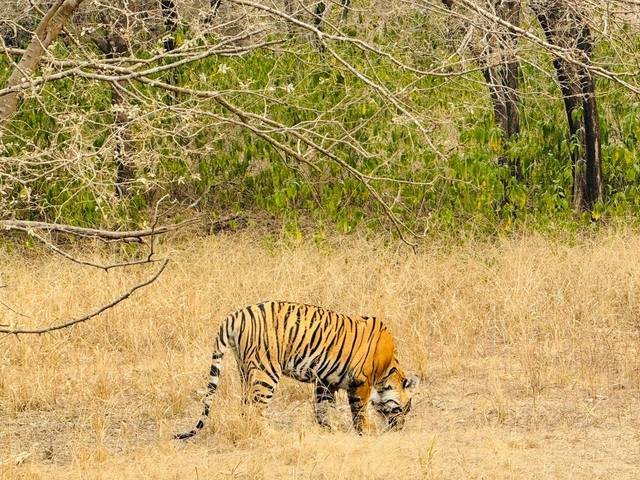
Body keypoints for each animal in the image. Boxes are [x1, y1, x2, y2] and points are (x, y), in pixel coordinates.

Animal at [176, 301, 419, 439]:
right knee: (255, 409)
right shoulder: (361, 382)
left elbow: (323, 408)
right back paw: (271, 435)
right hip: (266, 371)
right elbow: (359, 410)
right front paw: (366, 432)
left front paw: (329, 428)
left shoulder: (324, 382)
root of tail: (234, 316)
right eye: (406, 409)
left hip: (245, 370)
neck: (388, 370)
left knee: (245, 406)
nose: (400, 428)